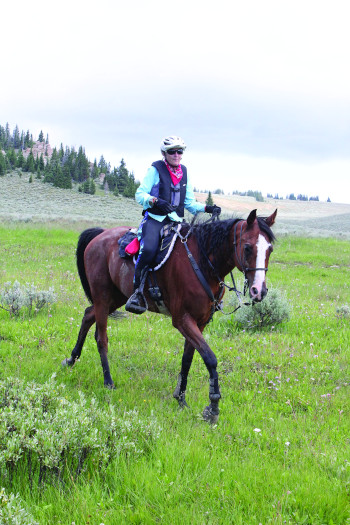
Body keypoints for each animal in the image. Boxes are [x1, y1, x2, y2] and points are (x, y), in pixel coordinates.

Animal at [62, 208, 276, 422]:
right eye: (247, 247)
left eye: (270, 249)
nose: (259, 291)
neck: (201, 262)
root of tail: (100, 234)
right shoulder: (182, 319)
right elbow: (210, 358)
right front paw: (213, 407)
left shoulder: (200, 322)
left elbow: (188, 358)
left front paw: (181, 398)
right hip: (102, 296)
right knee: (101, 338)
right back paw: (108, 381)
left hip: (116, 297)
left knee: (88, 315)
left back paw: (72, 359)